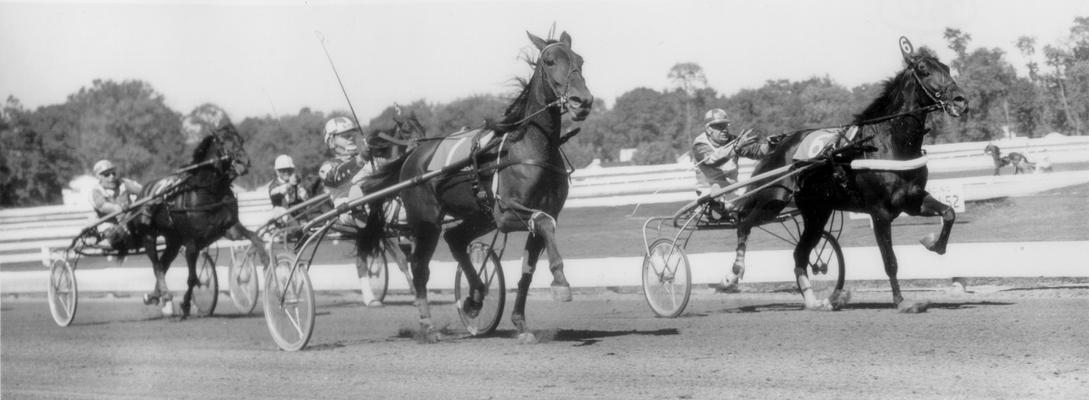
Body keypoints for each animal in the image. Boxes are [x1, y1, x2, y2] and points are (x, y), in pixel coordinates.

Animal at [135, 122, 266, 320]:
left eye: (241, 140)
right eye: (222, 142)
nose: (243, 162)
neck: (209, 192)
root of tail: (144, 191)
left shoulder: (230, 228)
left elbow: (254, 237)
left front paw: (266, 259)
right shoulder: (192, 242)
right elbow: (192, 278)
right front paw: (185, 305)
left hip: (173, 241)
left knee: (164, 263)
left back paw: (156, 295)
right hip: (149, 236)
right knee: (157, 265)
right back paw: (163, 294)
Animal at [359, 32, 596, 344]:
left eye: (580, 59)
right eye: (549, 60)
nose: (583, 101)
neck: (532, 148)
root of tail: (412, 156)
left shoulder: (540, 212)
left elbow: (528, 269)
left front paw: (521, 324)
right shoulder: (505, 214)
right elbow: (543, 224)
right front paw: (560, 282)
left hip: (477, 217)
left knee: (456, 240)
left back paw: (475, 296)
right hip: (427, 222)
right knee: (419, 266)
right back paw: (429, 326)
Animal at [723, 37, 971, 311]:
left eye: (947, 68)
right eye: (925, 71)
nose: (960, 101)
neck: (886, 142)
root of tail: (778, 144)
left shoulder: (911, 199)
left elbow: (948, 213)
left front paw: (933, 243)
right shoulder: (880, 211)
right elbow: (890, 260)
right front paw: (902, 301)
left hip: (817, 212)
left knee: (799, 253)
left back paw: (815, 302)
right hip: (772, 199)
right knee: (744, 223)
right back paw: (733, 274)